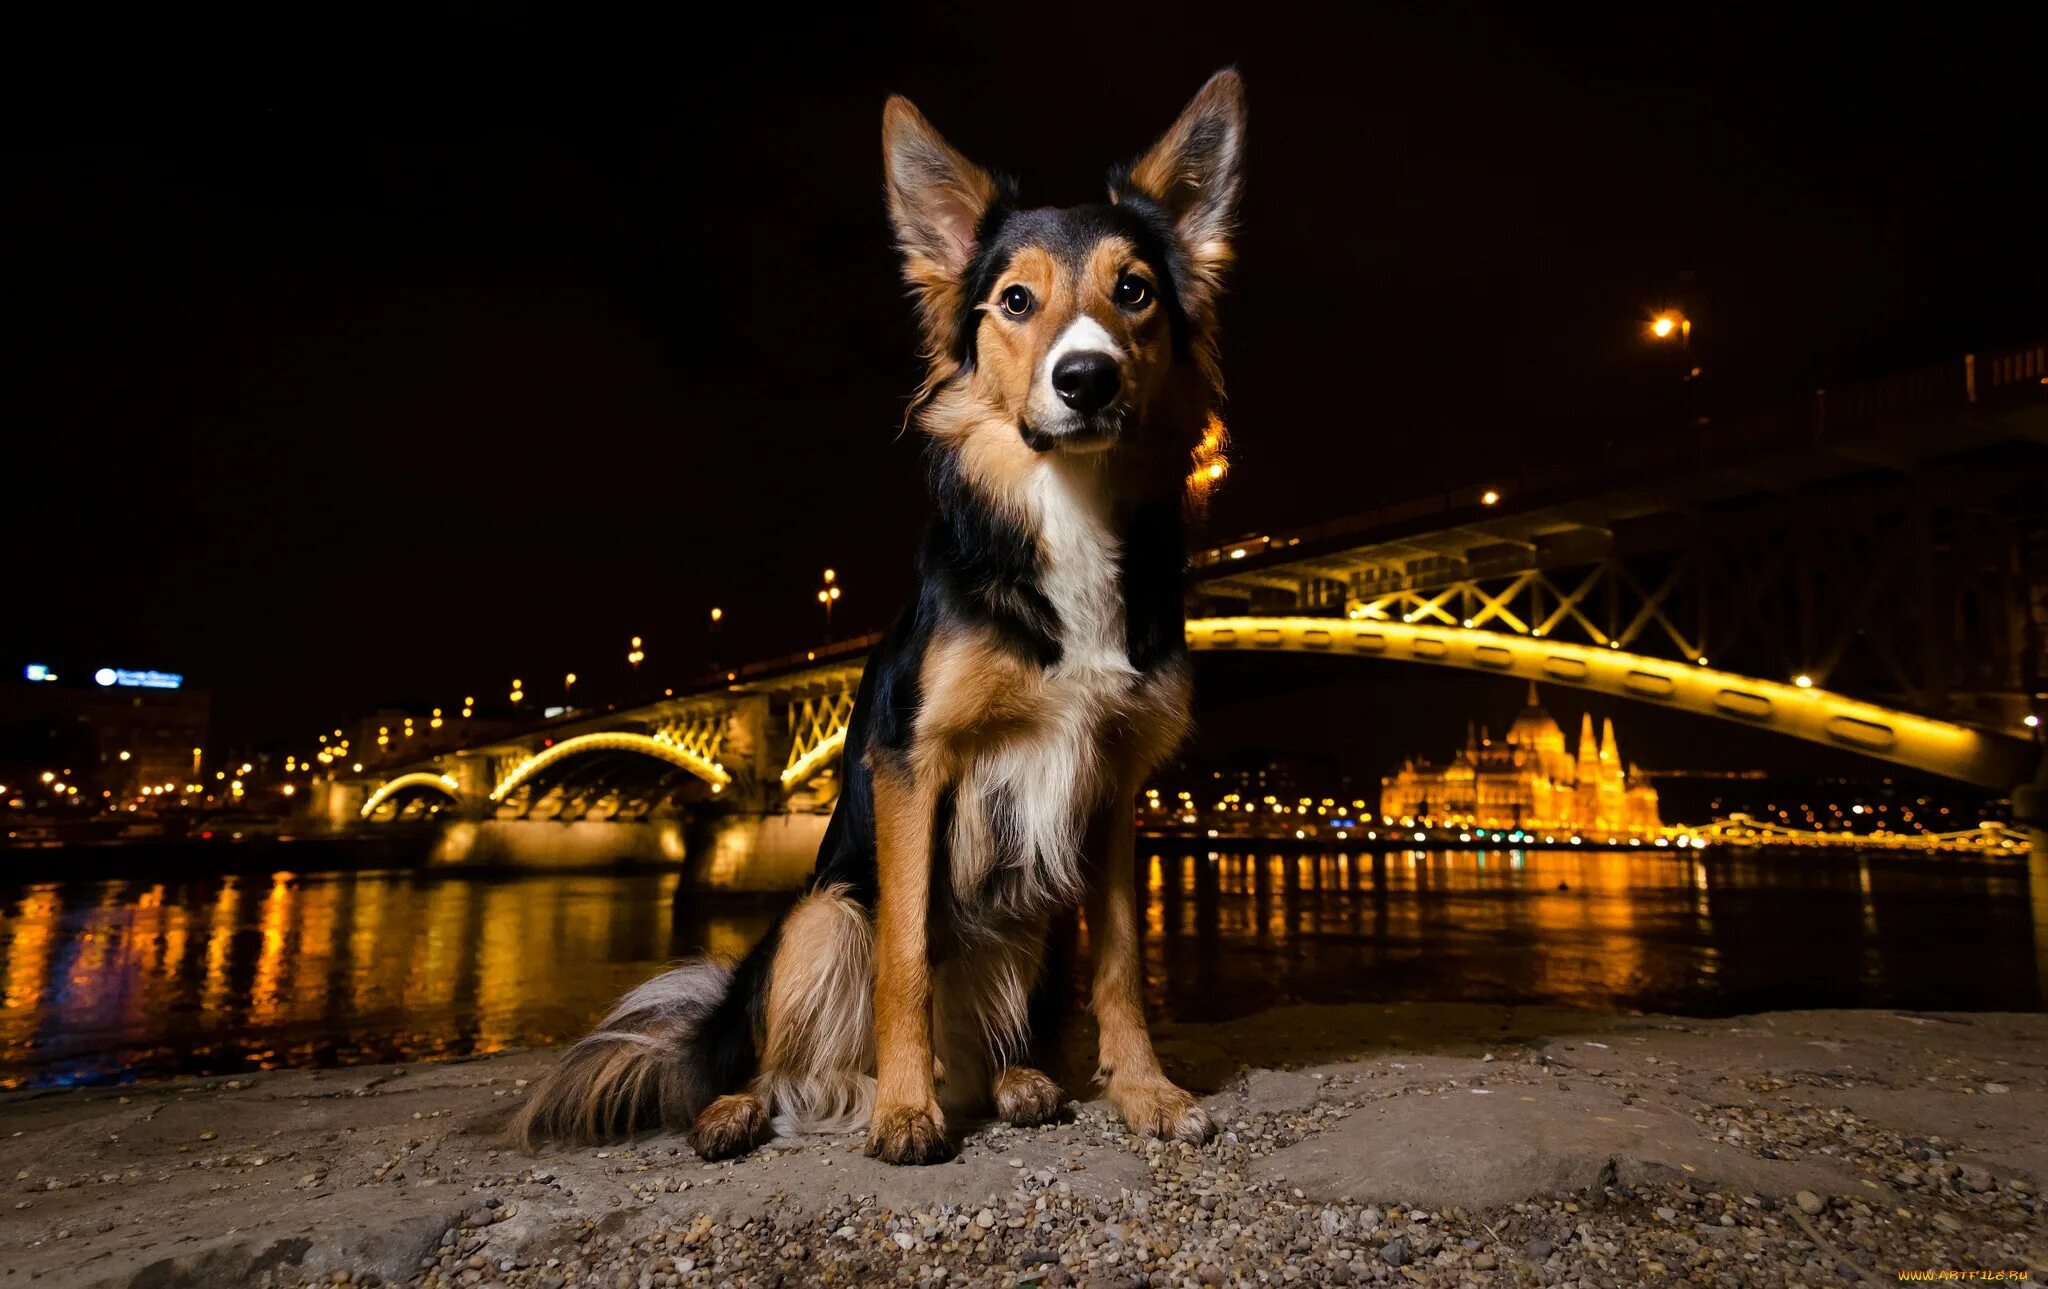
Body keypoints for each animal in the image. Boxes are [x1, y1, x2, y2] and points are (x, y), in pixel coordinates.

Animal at [512, 65, 1245, 1163]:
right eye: (1015, 300)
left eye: (1135, 291)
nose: (1086, 377)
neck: (1065, 514)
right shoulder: (913, 764)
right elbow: (905, 952)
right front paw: (906, 1110)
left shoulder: (1114, 784)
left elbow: (1120, 961)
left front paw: (1145, 1091)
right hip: (819, 910)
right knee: (781, 1059)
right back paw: (762, 1103)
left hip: (1029, 922)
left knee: (986, 1046)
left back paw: (1017, 1080)